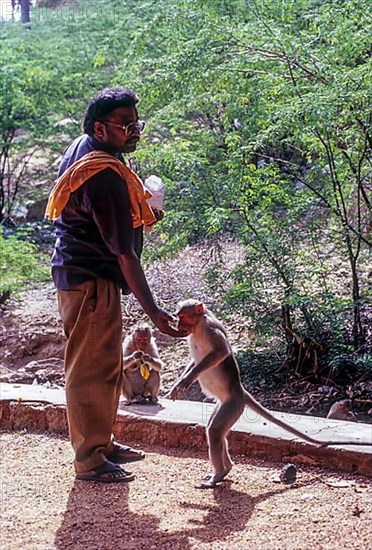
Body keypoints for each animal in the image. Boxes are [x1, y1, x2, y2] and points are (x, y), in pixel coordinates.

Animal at [171, 302, 372, 492]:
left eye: (183, 317)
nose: (178, 326)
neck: (199, 326)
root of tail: (239, 391)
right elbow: (195, 361)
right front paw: (180, 382)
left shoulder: (212, 330)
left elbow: (221, 352)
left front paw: (187, 380)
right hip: (224, 404)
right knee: (217, 432)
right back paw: (226, 469)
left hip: (233, 405)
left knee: (215, 431)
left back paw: (218, 474)